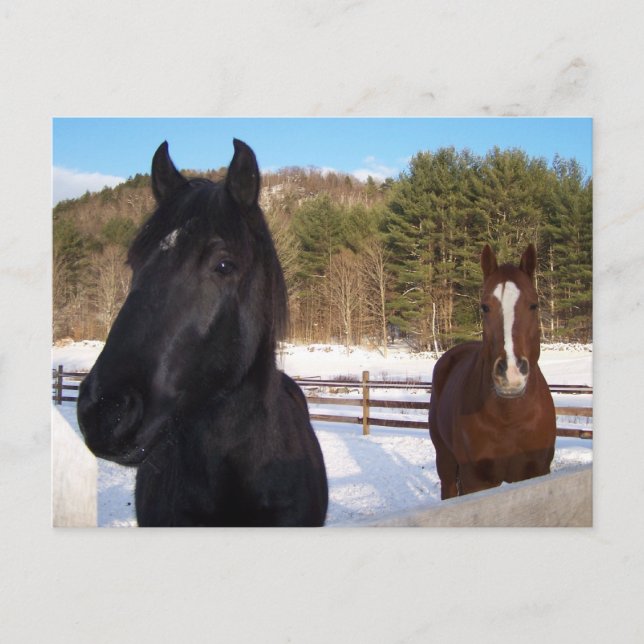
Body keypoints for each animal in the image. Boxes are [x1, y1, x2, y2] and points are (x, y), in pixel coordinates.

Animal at [428, 244, 556, 500]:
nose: (511, 375)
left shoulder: (537, 473)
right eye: (484, 307)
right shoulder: (476, 482)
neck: (510, 418)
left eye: (534, 305)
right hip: (445, 462)